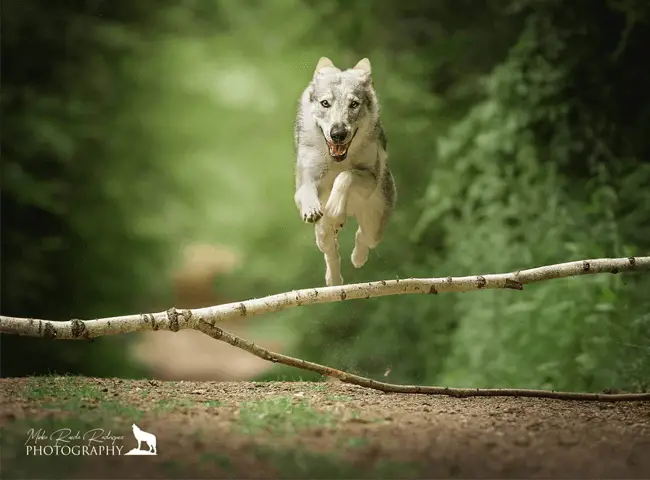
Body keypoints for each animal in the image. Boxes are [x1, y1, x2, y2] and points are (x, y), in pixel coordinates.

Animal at [294, 57, 394, 284]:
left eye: (353, 104)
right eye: (325, 103)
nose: (338, 133)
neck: (337, 160)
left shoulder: (369, 177)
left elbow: (345, 176)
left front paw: (334, 207)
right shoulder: (305, 181)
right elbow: (308, 191)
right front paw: (313, 209)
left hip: (374, 225)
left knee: (363, 237)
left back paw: (357, 257)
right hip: (322, 237)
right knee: (330, 249)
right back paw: (333, 281)